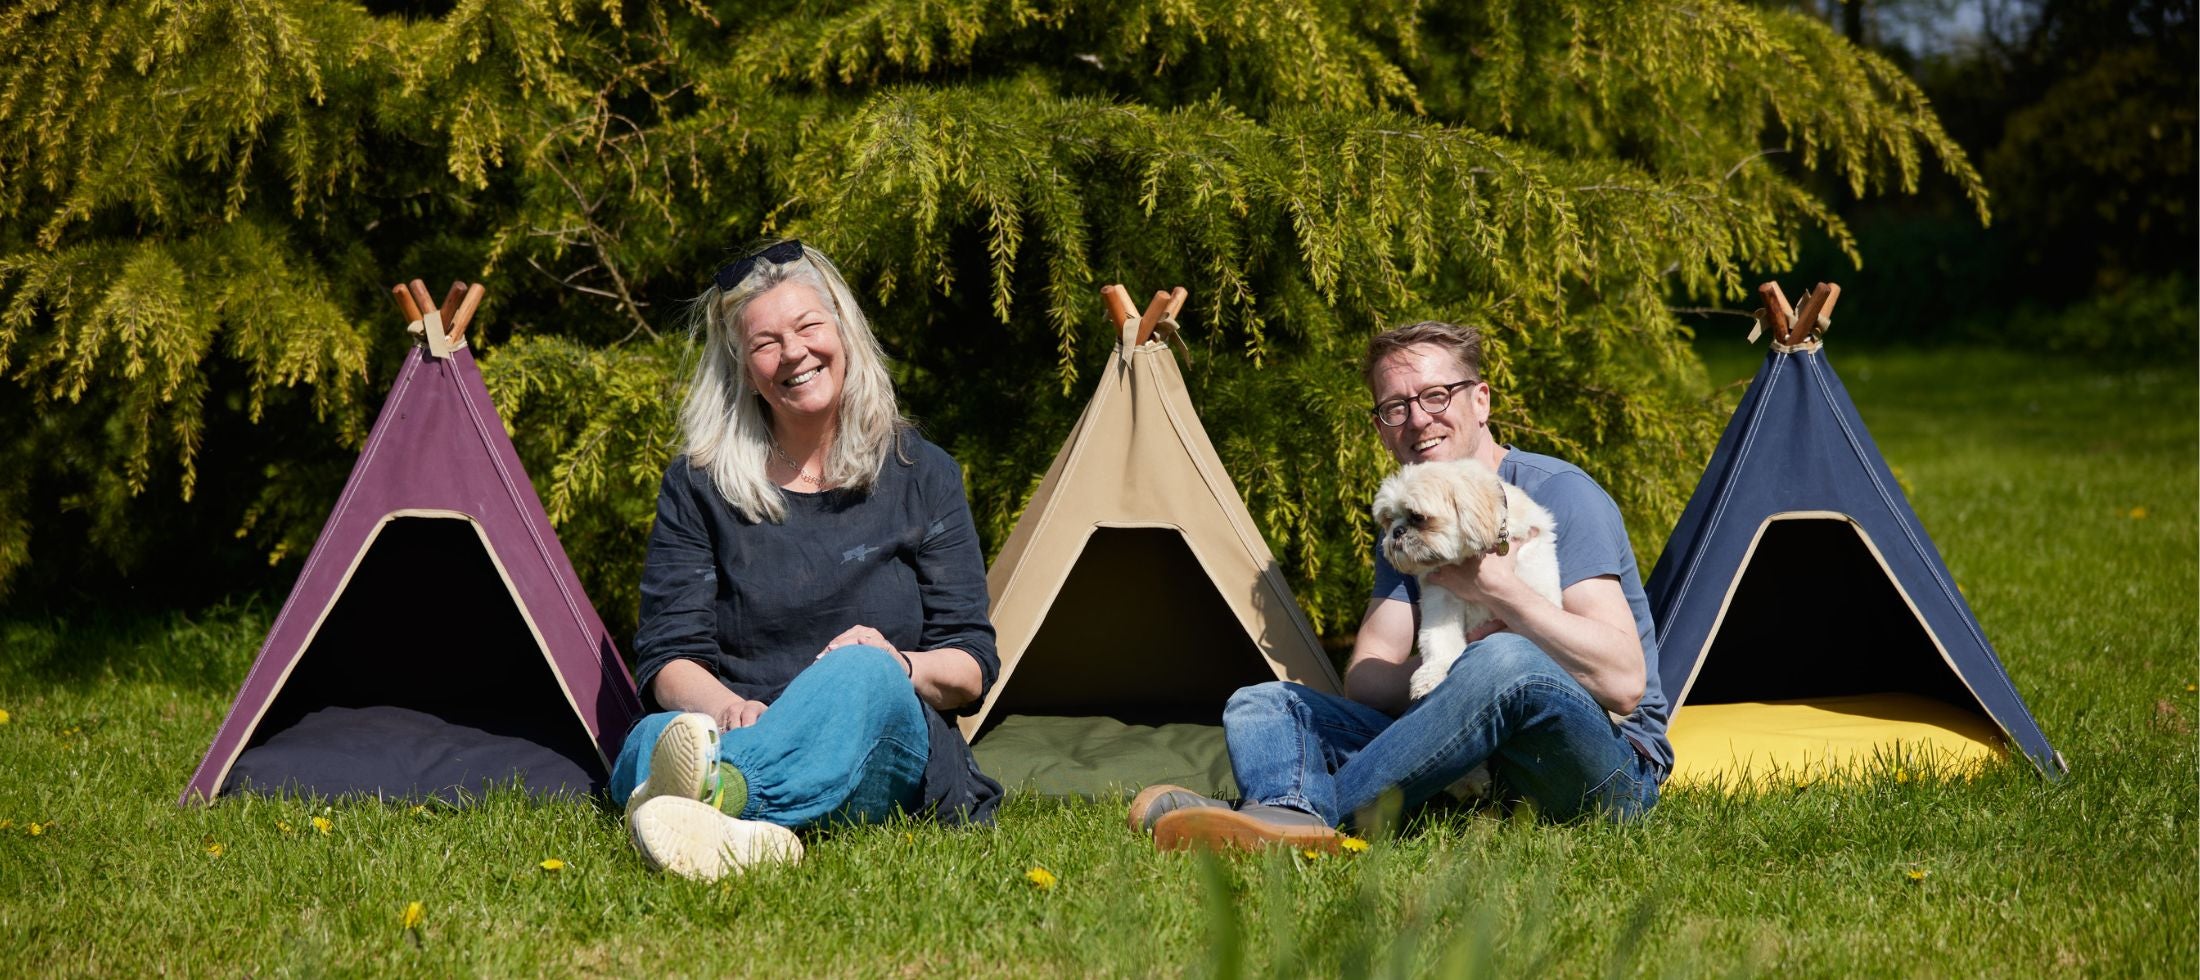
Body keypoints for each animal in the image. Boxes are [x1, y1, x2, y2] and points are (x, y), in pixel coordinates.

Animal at [1372, 460, 1566, 704]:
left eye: (1417, 517)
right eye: (1388, 520)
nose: (1397, 532)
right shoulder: (1440, 598)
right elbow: (1439, 639)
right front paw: (1433, 673)